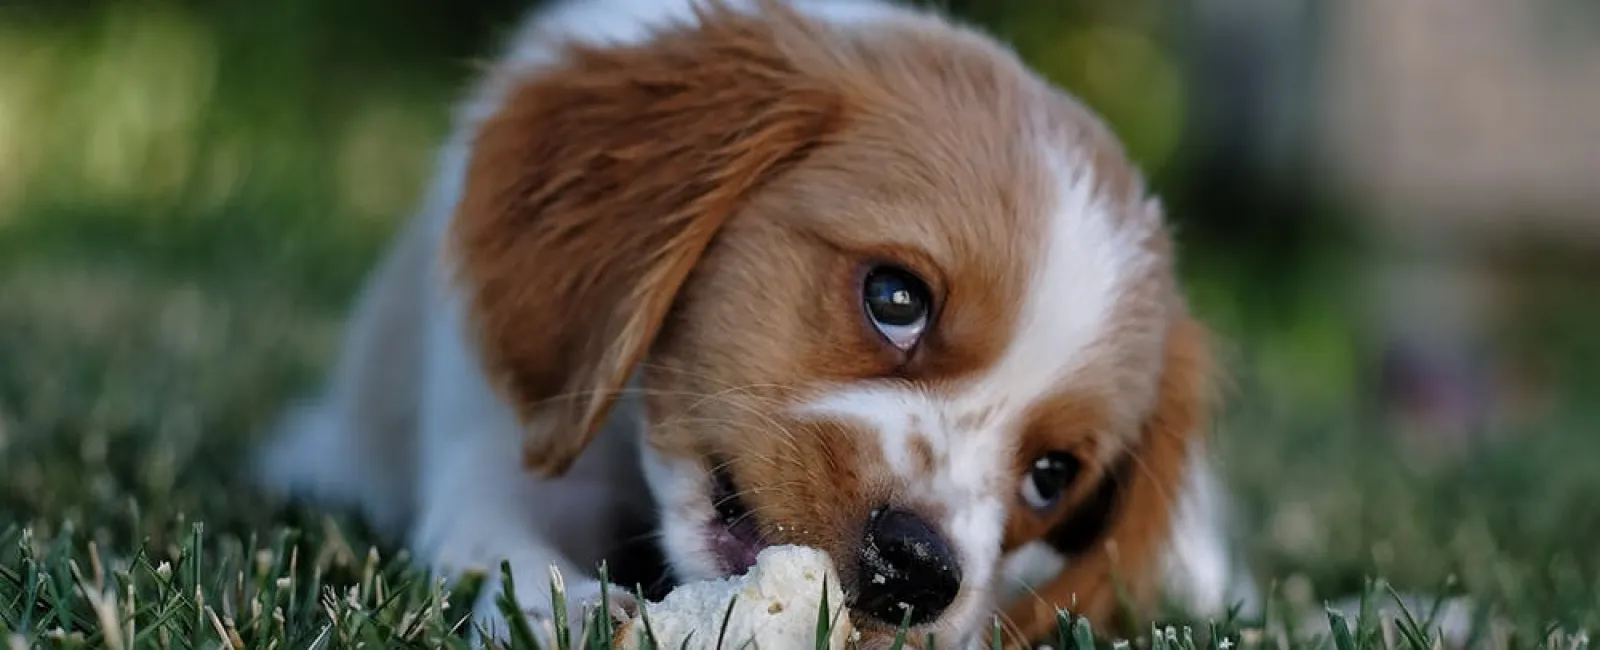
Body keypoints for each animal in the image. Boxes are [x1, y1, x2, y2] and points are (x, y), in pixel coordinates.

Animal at [256, 0, 1260, 646]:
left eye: (1053, 476)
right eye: (896, 298)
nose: (919, 572)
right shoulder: (495, 447)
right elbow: (500, 548)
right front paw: (574, 612)